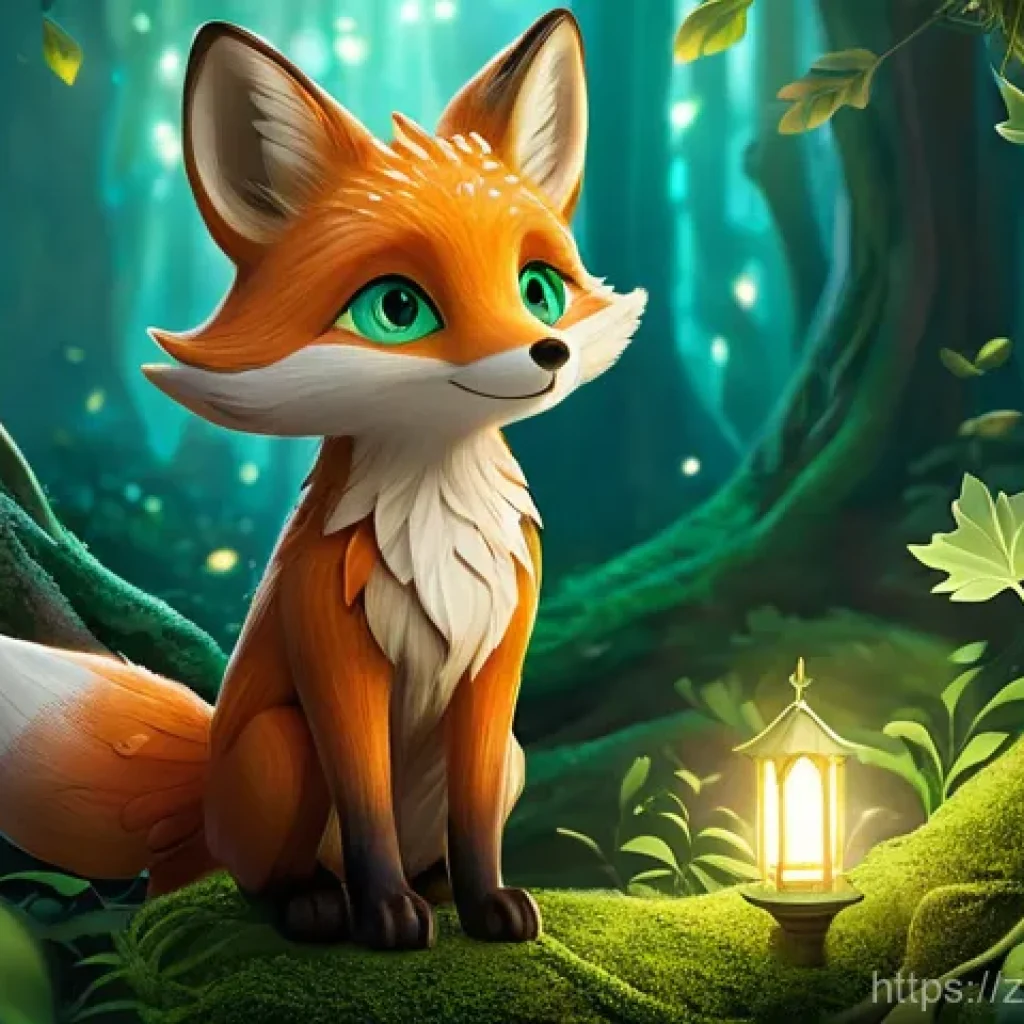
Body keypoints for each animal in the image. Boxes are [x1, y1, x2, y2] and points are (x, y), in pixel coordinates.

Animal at [0, 9, 646, 950]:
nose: (548, 352)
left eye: (538, 290)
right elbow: (365, 800)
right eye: (397, 308)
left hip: (508, 755)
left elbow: (477, 817)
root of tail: (203, 795)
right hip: (277, 749)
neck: (438, 523)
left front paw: (488, 903)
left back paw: (435, 886)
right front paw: (385, 918)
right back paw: (312, 903)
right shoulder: (334, 652)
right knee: (245, 875)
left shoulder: (499, 662)